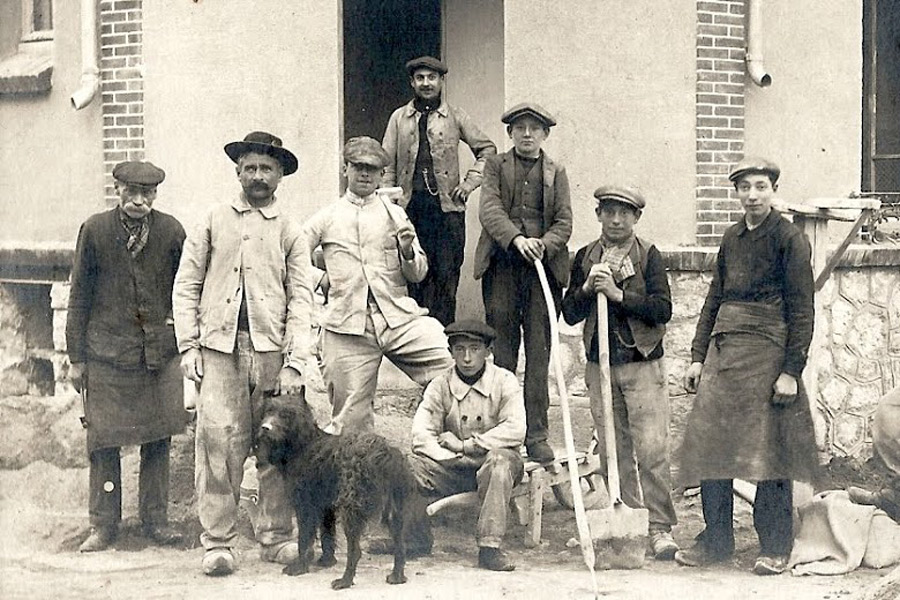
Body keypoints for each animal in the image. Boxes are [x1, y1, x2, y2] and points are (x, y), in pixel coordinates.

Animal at [256, 392, 418, 588]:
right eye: (268, 411)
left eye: (285, 415)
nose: (265, 428)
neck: (306, 443)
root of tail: (385, 453)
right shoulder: (326, 507)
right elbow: (327, 534)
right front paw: (327, 561)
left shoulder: (306, 506)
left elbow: (304, 539)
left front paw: (300, 567)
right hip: (394, 511)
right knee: (400, 545)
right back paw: (397, 576)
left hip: (351, 509)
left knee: (355, 551)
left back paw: (345, 581)